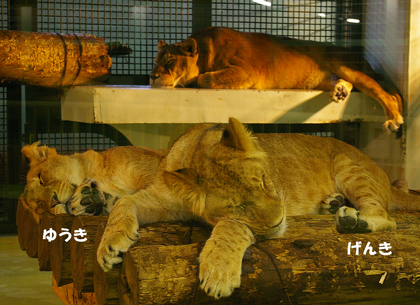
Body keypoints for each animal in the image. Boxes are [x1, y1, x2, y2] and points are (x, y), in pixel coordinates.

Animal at [96, 117, 420, 298]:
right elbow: (124, 202)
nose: (280, 220)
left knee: (388, 218)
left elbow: (230, 227)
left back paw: (355, 221)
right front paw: (109, 247)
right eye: (237, 204)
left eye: (265, 181)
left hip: (349, 165)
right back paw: (334, 205)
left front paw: (218, 271)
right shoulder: (160, 198)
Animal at [150, 27, 404, 133]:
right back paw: (340, 90)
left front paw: (194, 80)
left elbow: (206, 79)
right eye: (155, 61)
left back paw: (394, 119)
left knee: (386, 93)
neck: (204, 51)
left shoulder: (245, 71)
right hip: (318, 79)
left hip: (342, 64)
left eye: (170, 62)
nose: (152, 76)